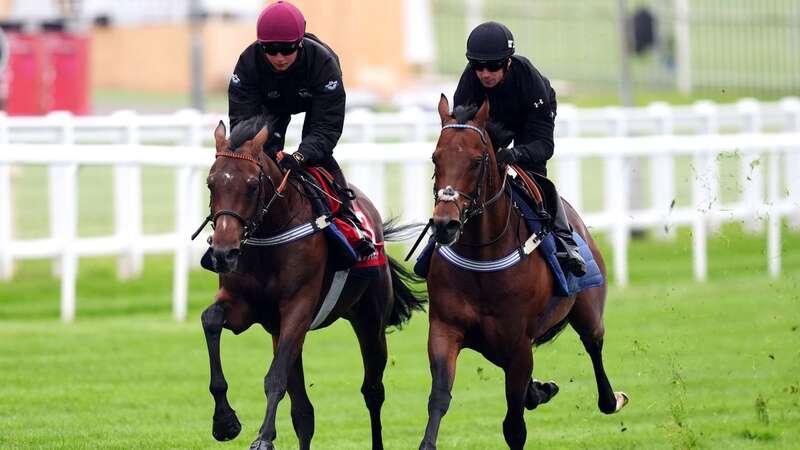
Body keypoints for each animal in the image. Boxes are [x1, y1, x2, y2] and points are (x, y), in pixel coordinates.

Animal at [195, 115, 424, 450]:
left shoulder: (298, 308)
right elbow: (210, 319)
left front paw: (262, 438)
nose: (224, 253)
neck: (269, 239)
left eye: (252, 185)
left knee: (373, 391)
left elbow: (275, 377)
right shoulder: (243, 306)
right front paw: (225, 422)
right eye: (211, 183)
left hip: (370, 320)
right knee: (304, 411)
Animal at [416, 96, 628, 450]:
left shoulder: (518, 343)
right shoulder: (446, 329)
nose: (445, 224)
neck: (482, 258)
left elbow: (514, 426)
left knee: (594, 347)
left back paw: (612, 399)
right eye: (436, 157)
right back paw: (541, 389)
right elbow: (439, 396)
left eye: (476, 161)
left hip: (587, 311)